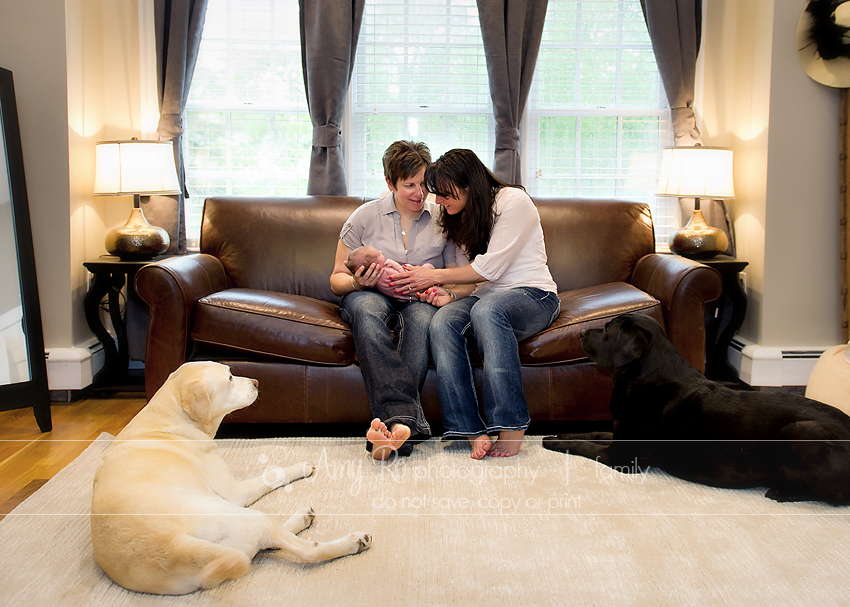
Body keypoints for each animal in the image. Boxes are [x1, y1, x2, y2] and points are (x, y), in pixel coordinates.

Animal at [91, 364, 370, 596]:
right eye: (229, 378)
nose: (257, 382)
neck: (167, 418)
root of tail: (175, 547)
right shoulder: (236, 491)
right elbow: (271, 474)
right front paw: (300, 466)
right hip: (241, 514)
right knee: (304, 549)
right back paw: (352, 541)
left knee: (268, 543)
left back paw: (301, 518)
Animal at [540, 314, 848, 504]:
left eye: (607, 329)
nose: (580, 331)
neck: (640, 377)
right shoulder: (619, 432)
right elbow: (591, 432)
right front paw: (559, 435)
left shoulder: (623, 457)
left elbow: (585, 445)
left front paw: (554, 443)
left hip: (799, 432)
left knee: (834, 495)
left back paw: (782, 491)